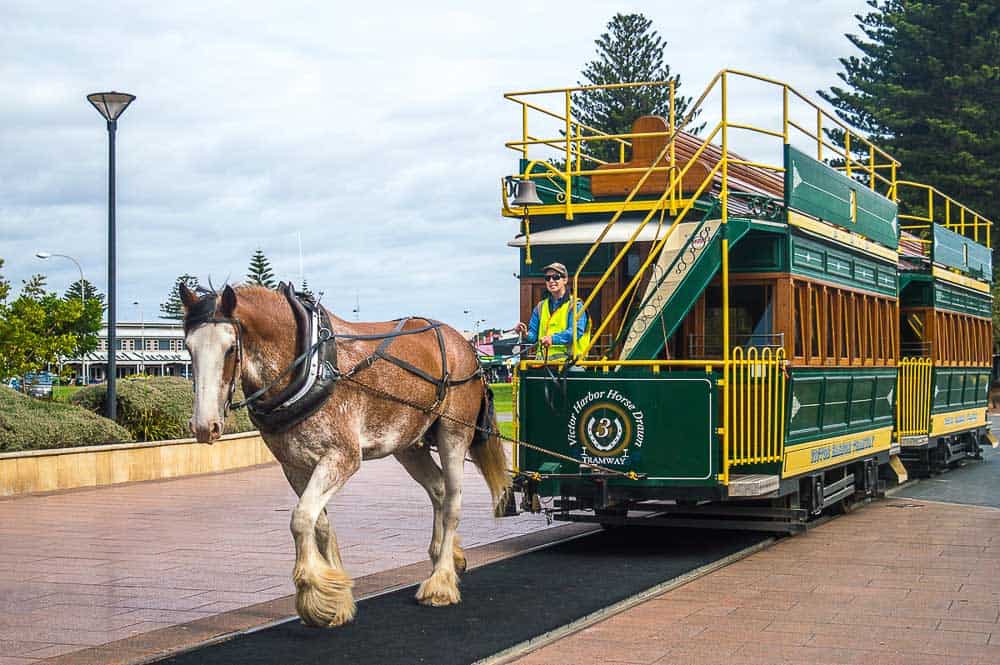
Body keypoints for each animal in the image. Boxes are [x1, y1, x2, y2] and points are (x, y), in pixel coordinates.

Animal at [180, 282, 512, 624]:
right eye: (188, 347)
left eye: (230, 349)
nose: (203, 426)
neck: (309, 363)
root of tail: (465, 345)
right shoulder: (293, 465)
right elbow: (319, 524)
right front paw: (335, 598)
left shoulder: (342, 457)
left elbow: (301, 518)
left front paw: (315, 593)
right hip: (409, 443)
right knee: (439, 490)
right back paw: (446, 558)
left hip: (453, 432)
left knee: (453, 503)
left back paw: (441, 581)